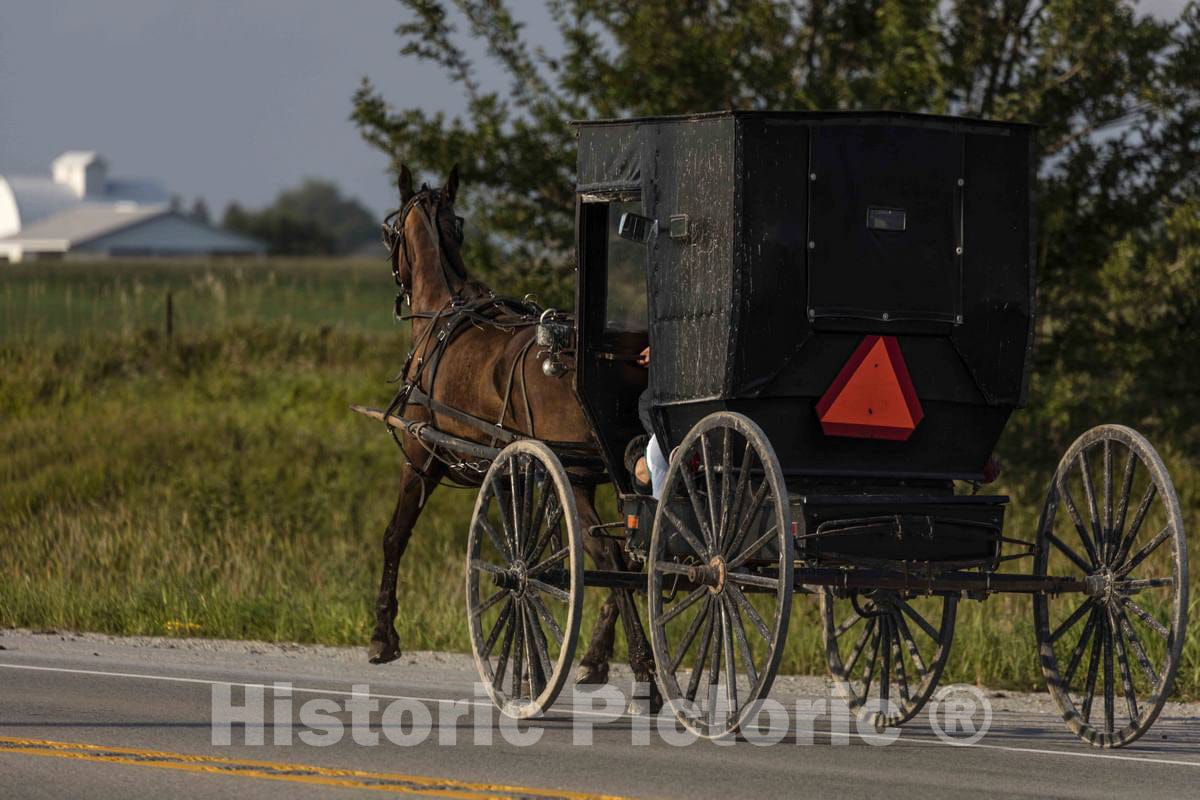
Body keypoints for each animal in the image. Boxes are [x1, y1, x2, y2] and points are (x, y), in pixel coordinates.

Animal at [368, 163, 657, 705]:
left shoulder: (420, 455)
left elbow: (395, 536)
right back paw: (597, 659)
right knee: (632, 555)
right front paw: (532, 666)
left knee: (609, 554)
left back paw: (643, 666)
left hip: (577, 477)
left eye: (389, 231)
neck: (442, 313)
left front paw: (382, 636)